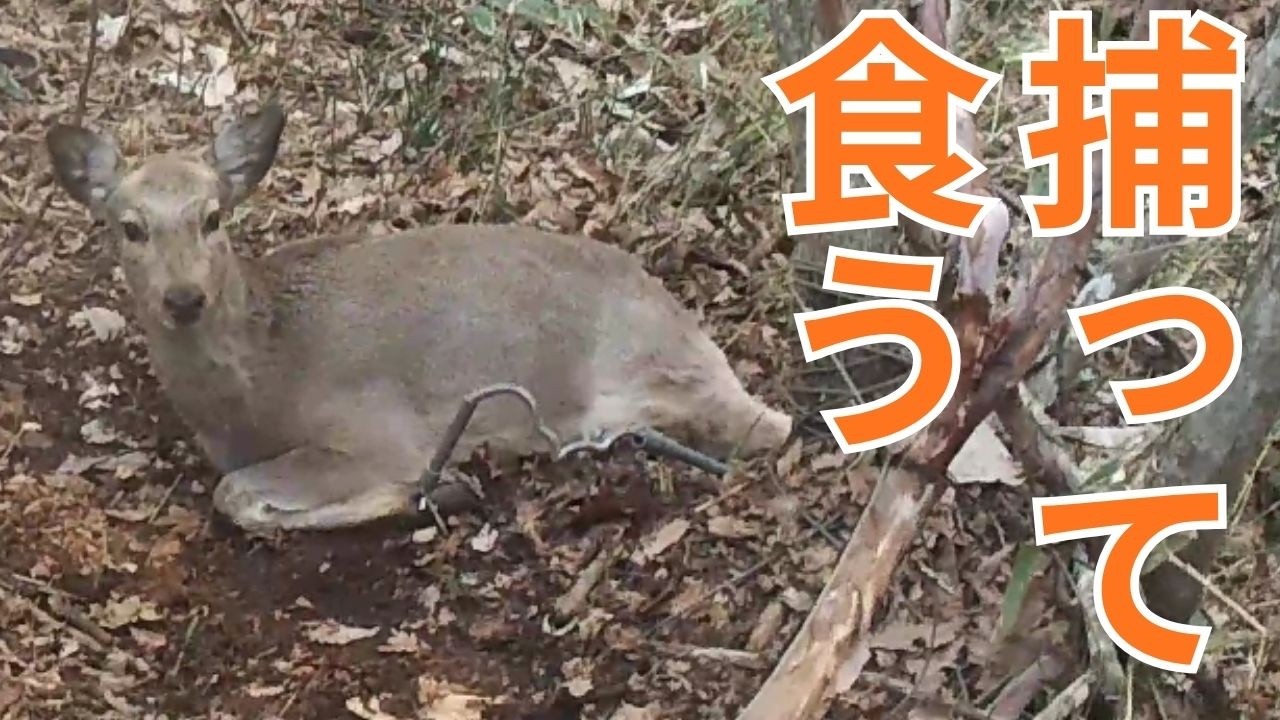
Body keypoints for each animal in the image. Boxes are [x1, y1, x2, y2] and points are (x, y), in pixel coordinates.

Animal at [44, 102, 794, 534]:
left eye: (212, 217)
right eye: (129, 227)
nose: (183, 297)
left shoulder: (373, 427)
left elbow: (236, 496)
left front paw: (436, 488)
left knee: (763, 427)